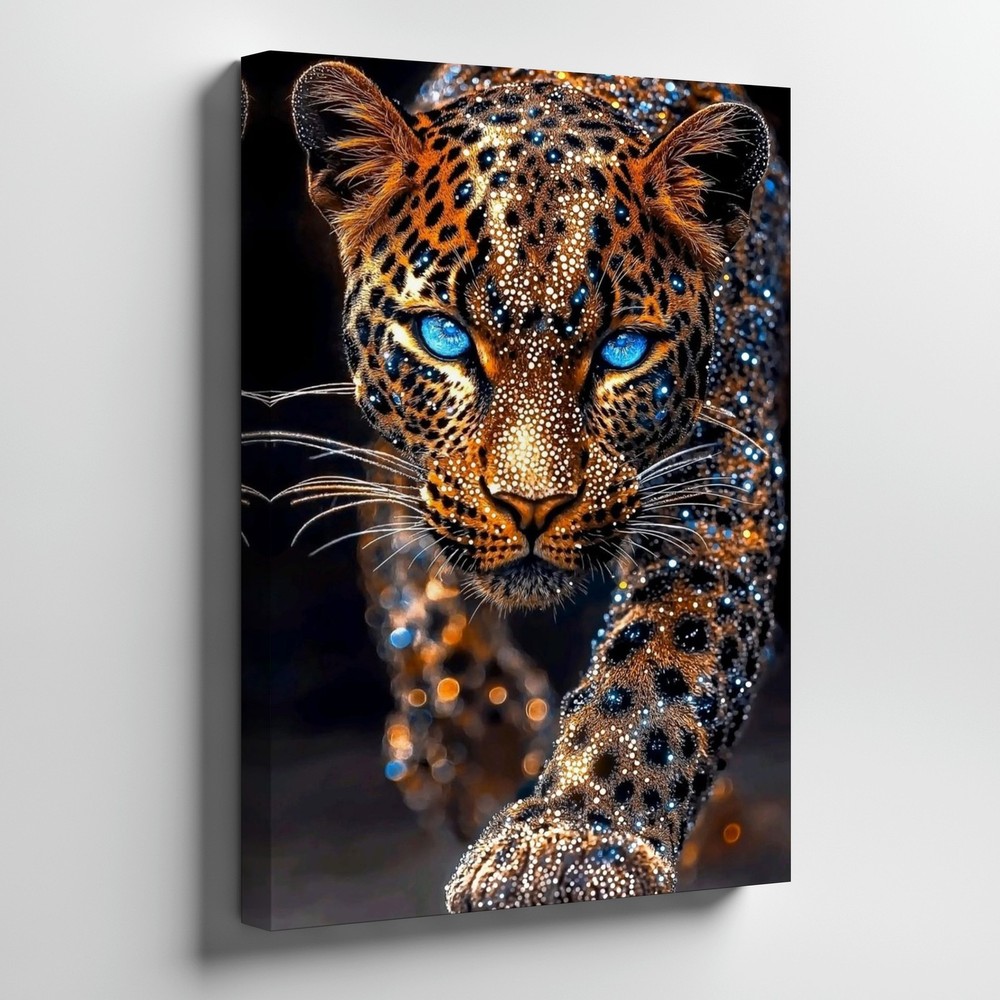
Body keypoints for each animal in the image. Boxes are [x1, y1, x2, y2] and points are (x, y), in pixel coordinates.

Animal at [281, 59, 788, 911]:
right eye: (445, 335)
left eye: (623, 350)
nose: (532, 505)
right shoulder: (401, 468)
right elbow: (414, 595)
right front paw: (479, 752)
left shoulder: (725, 484)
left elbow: (664, 665)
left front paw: (579, 839)